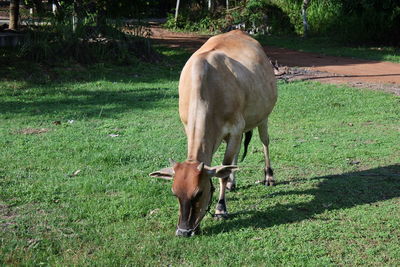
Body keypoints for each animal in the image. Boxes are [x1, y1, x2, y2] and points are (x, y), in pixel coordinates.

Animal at [148, 30, 276, 238]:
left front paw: (221, 208)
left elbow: (223, 171)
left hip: (263, 117)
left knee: (265, 143)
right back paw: (233, 183)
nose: (183, 231)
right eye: (175, 193)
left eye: (199, 193)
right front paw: (228, 186)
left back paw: (269, 177)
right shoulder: (192, 127)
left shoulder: (235, 128)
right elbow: (224, 167)